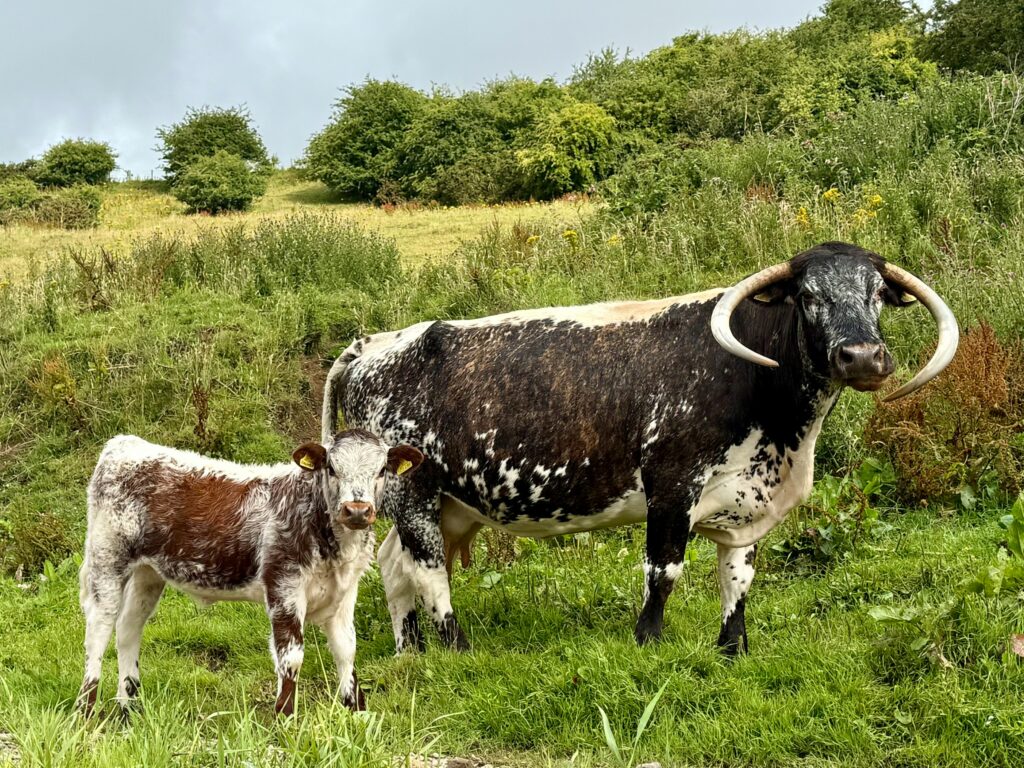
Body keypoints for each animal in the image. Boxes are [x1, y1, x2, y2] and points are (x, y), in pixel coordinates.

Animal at [77, 430, 423, 717]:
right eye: (332, 469)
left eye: (381, 470)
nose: (357, 510)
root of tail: (126, 443)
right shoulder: (284, 586)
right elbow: (291, 657)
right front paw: (286, 719)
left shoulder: (346, 591)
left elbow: (346, 649)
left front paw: (356, 713)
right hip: (107, 560)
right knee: (99, 629)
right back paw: (86, 710)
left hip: (148, 573)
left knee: (128, 628)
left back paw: (128, 706)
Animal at [321, 242, 958, 655]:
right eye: (807, 296)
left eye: (877, 294)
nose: (862, 356)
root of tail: (376, 342)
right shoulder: (672, 486)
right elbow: (664, 570)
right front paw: (647, 641)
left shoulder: (747, 502)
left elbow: (738, 577)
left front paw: (733, 648)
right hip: (413, 492)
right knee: (428, 571)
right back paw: (456, 648)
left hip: (448, 502)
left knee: (395, 564)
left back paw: (410, 651)